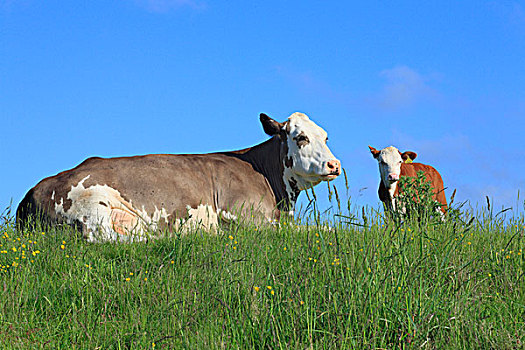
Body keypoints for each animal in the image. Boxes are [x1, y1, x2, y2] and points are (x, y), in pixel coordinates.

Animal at [16, 113, 340, 242]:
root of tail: (33, 191)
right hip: (93, 208)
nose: (334, 164)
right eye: (300, 138)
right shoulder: (247, 217)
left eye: (325, 137)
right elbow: (321, 230)